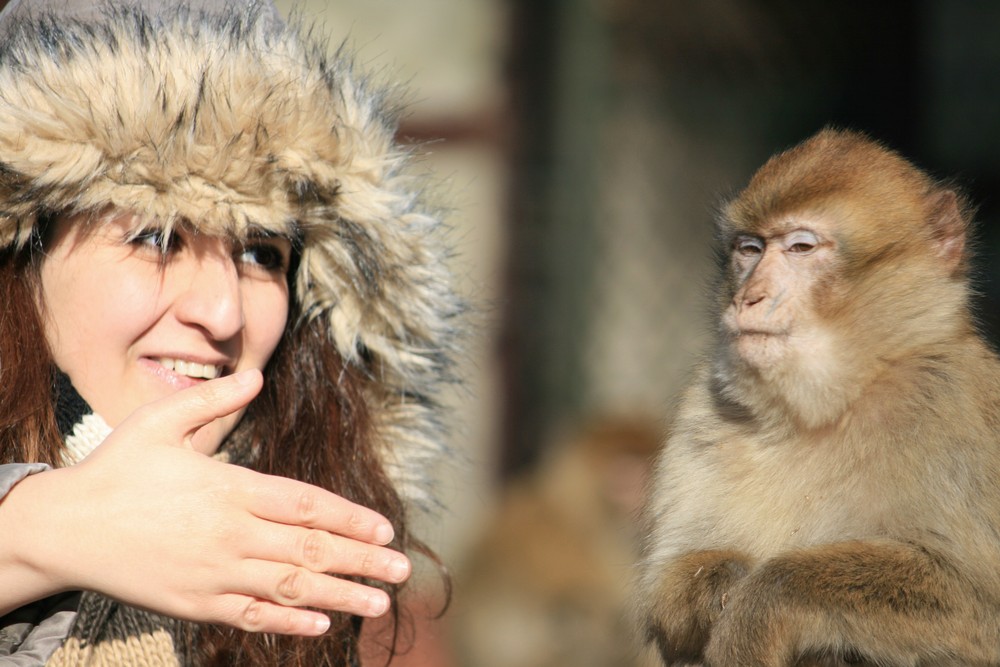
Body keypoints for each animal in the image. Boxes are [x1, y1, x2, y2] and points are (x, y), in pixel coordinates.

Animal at [636, 126, 1000, 667]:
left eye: (801, 247)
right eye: (750, 249)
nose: (749, 298)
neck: (826, 408)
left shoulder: (955, 405)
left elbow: (983, 610)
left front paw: (765, 598)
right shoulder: (703, 407)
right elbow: (668, 591)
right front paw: (721, 584)